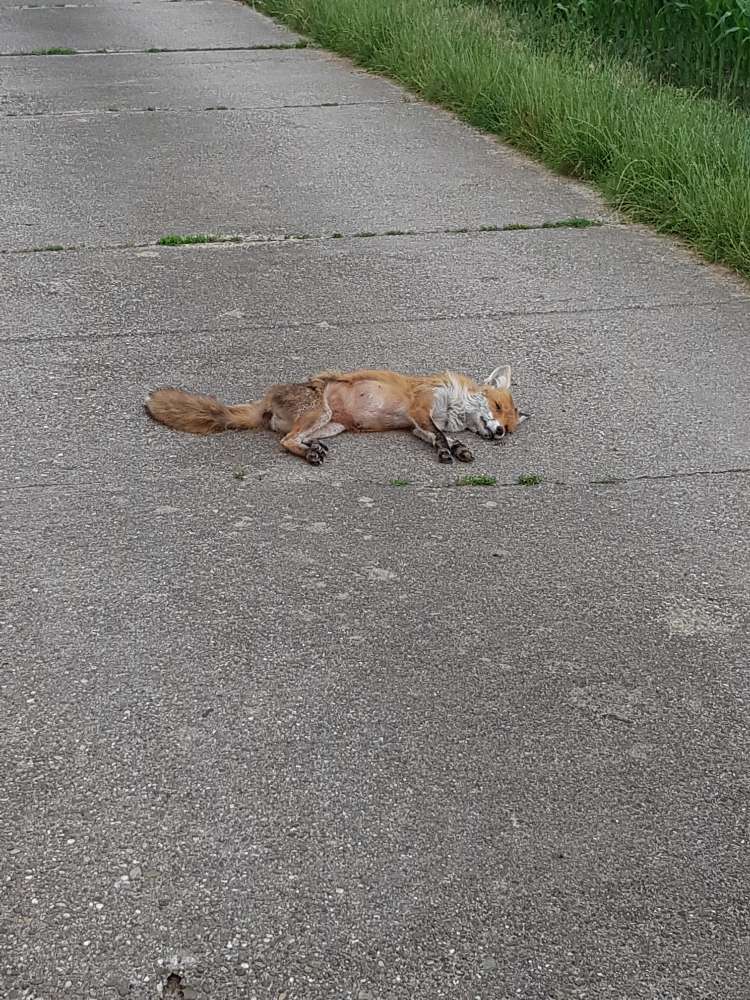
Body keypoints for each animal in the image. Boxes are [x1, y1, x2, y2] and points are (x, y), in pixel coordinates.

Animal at [145, 365, 529, 466]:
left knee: (293, 440)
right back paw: (309, 455)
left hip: (332, 427)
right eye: (497, 407)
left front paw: (457, 448)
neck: (452, 406)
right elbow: (439, 433)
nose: (498, 432)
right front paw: (450, 449)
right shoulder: (420, 407)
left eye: (510, 427)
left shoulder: (414, 426)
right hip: (320, 412)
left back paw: (312, 450)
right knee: (284, 442)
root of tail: (266, 397)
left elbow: (439, 436)